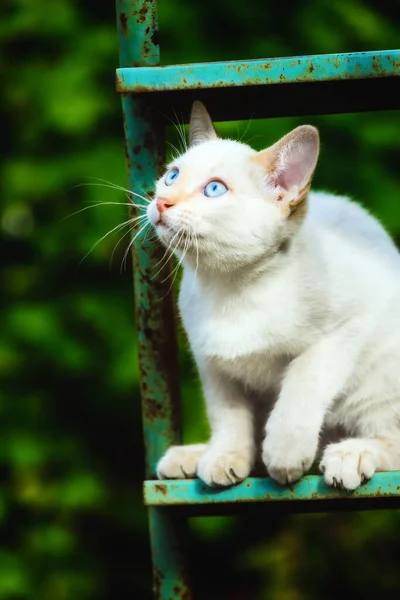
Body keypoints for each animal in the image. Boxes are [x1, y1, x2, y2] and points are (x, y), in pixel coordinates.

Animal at [146, 101, 400, 490]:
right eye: (172, 176)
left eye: (214, 189)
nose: (161, 201)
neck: (231, 289)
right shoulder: (211, 362)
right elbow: (227, 415)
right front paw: (225, 456)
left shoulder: (344, 329)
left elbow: (301, 386)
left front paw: (284, 454)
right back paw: (194, 456)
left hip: (379, 378)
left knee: (391, 440)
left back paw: (350, 454)